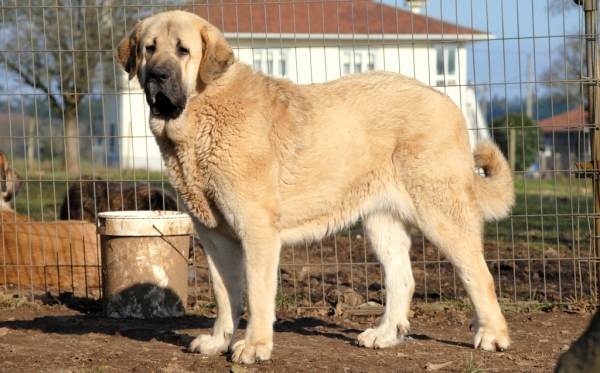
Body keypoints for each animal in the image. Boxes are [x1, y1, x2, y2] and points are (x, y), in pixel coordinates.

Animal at [115, 9, 512, 364]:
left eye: (183, 50)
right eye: (150, 48)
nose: (158, 75)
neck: (201, 115)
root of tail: (446, 100)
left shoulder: (256, 230)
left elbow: (257, 294)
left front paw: (254, 347)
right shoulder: (214, 236)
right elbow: (225, 295)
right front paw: (218, 342)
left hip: (440, 213)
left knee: (478, 274)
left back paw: (492, 335)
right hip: (380, 222)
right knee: (402, 278)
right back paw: (385, 335)